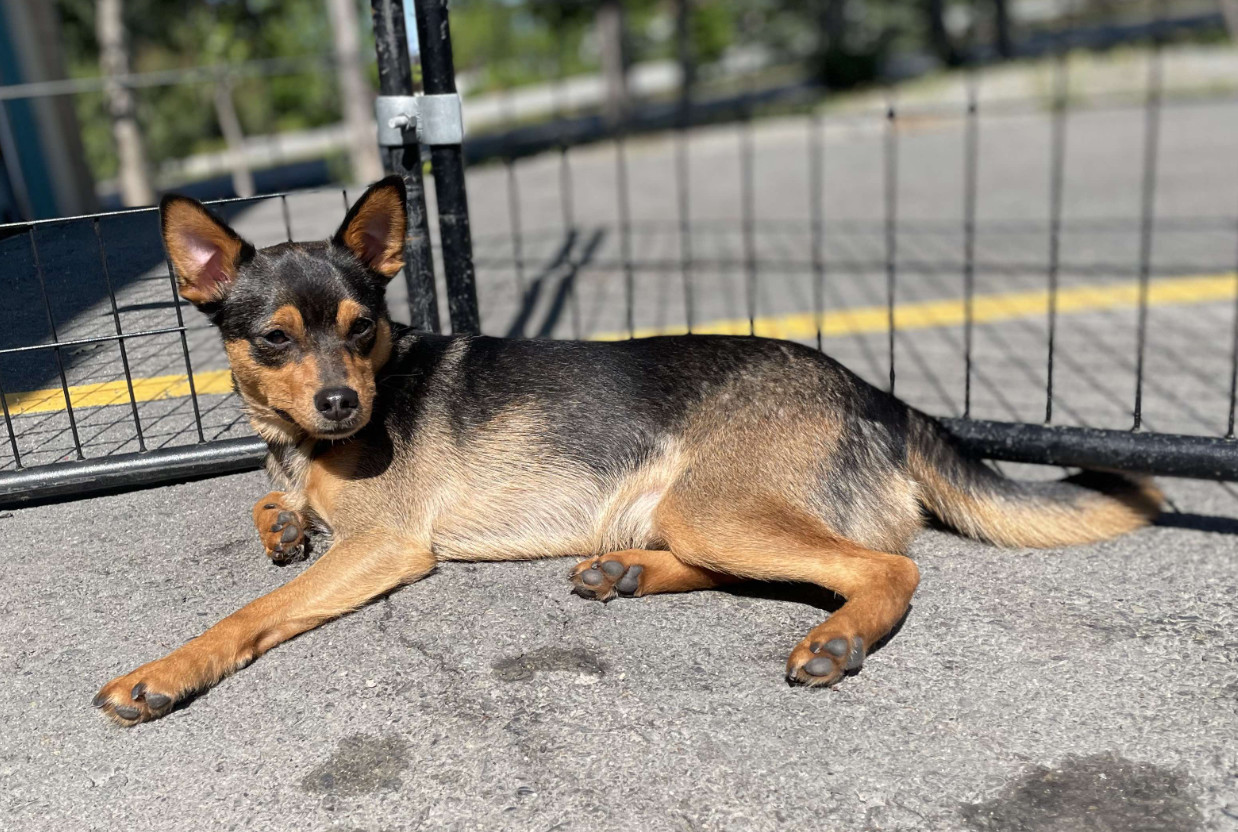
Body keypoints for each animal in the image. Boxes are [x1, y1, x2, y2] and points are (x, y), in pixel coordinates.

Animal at [94, 175, 1158, 723]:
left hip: (716, 506)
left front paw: (164, 671)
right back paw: (625, 573)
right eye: (274, 339)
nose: (344, 403)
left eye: (363, 329)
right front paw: (281, 522)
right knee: (777, 564)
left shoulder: (386, 548)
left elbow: (250, 613)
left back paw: (835, 639)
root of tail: (873, 392)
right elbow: (268, 505)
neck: (307, 442)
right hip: (694, 512)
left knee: (885, 568)